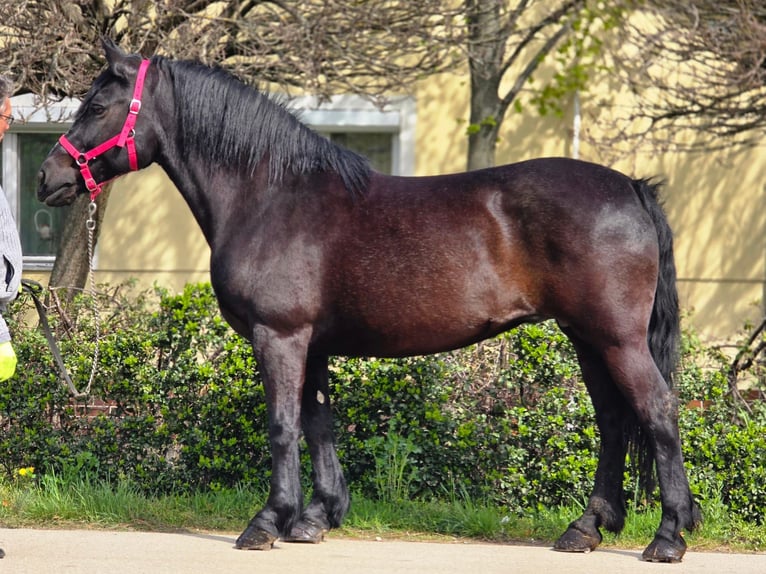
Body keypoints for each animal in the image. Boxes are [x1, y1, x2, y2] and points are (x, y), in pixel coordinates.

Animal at [38, 40, 700, 562]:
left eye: (95, 106)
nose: (48, 178)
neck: (270, 195)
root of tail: (631, 188)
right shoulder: (311, 345)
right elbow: (318, 422)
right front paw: (316, 518)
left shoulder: (279, 337)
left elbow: (282, 425)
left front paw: (267, 522)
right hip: (586, 337)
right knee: (613, 420)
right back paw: (586, 529)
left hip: (615, 337)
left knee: (658, 411)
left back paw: (667, 536)